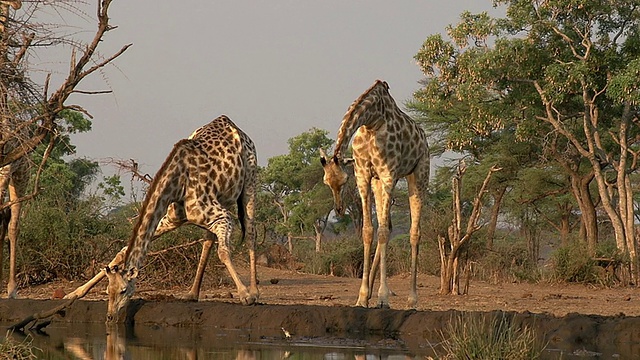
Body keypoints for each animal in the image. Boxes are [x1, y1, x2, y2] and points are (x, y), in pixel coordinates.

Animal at [105, 116, 258, 324]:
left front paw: (245, 295)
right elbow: (121, 252)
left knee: (250, 232)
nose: (110, 317)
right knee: (208, 240)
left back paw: (255, 291)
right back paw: (192, 293)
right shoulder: (172, 219)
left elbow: (224, 252)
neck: (177, 182)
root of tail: (234, 125)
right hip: (223, 199)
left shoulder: (224, 217)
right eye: (107, 291)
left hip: (249, 181)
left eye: (123, 290)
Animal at [320, 80, 430, 308]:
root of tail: (424, 138)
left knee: (414, 232)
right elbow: (369, 231)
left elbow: (383, 233)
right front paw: (362, 297)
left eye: (343, 181)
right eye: (327, 182)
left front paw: (383, 297)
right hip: (378, 183)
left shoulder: (388, 173)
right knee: (386, 224)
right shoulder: (363, 174)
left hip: (419, 173)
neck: (371, 122)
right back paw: (371, 292)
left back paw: (412, 299)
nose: (338, 209)